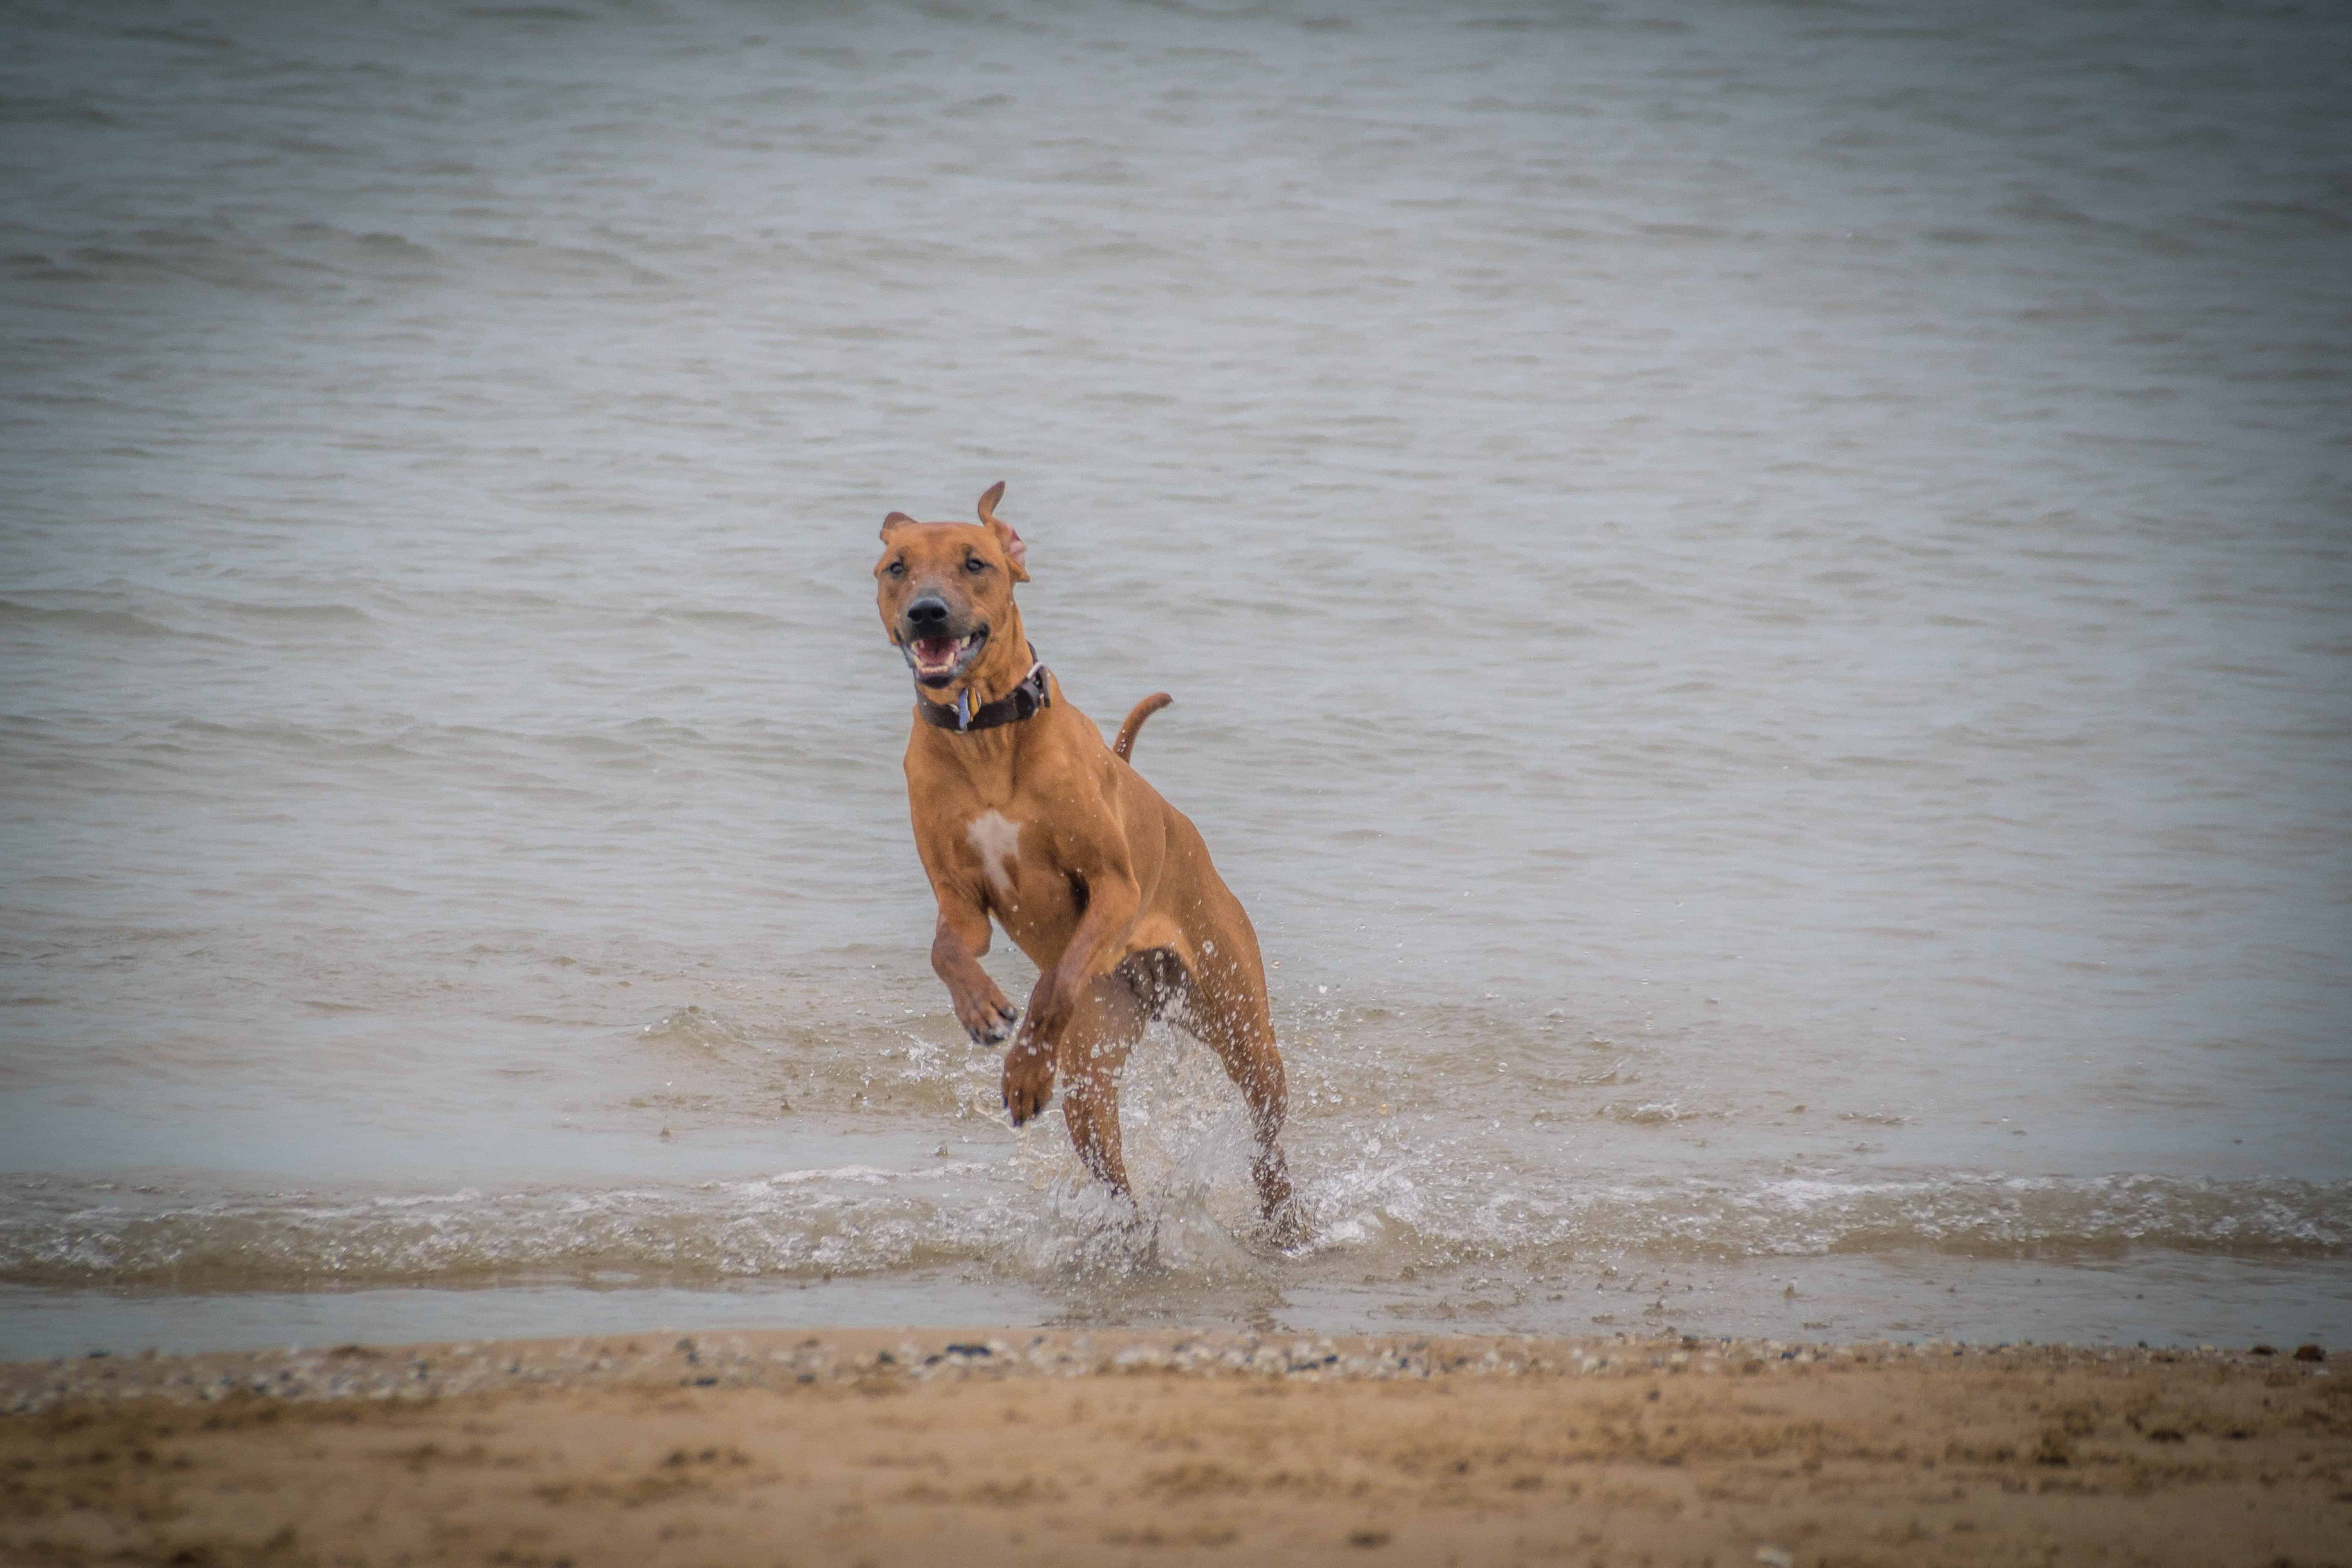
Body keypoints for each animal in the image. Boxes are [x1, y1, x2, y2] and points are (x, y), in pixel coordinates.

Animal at [875, 484, 1298, 1232]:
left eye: (975, 562)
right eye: (896, 567)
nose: (927, 611)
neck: (983, 736)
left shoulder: (1112, 888)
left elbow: (1057, 981)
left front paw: (1022, 1063)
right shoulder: (960, 901)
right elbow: (947, 951)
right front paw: (981, 1009)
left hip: (1238, 1015)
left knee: (1266, 1125)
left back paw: (1282, 1218)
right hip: (1094, 1066)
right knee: (1111, 1165)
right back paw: (1130, 1232)